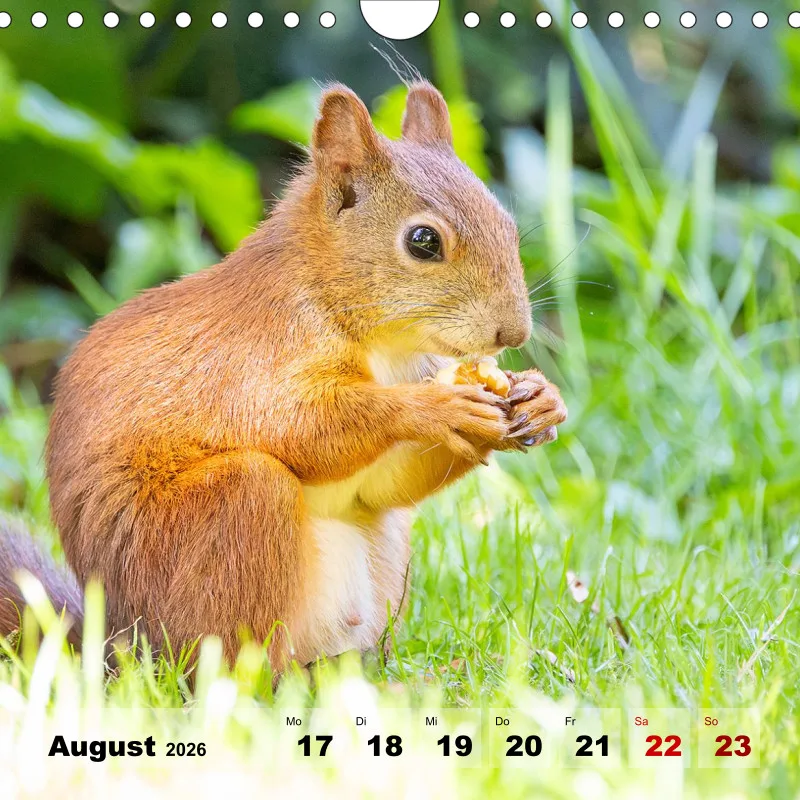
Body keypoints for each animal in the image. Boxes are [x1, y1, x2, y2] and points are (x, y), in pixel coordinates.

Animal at [0, 82, 567, 670]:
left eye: (508, 226)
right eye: (423, 241)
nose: (514, 333)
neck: (379, 343)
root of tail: (119, 651)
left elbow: (380, 484)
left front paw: (541, 399)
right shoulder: (252, 362)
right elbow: (300, 426)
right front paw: (436, 409)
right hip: (225, 521)